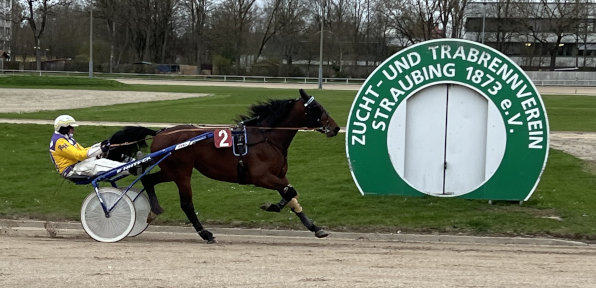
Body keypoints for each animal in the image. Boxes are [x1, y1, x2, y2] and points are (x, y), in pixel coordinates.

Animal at [107, 89, 340, 243]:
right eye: (317, 108)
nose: (336, 128)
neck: (267, 138)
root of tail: (160, 132)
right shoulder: (261, 176)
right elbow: (290, 192)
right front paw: (271, 206)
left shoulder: (279, 176)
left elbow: (291, 195)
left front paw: (315, 227)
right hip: (182, 172)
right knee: (187, 204)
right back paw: (205, 233)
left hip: (170, 170)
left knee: (148, 179)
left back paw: (154, 210)